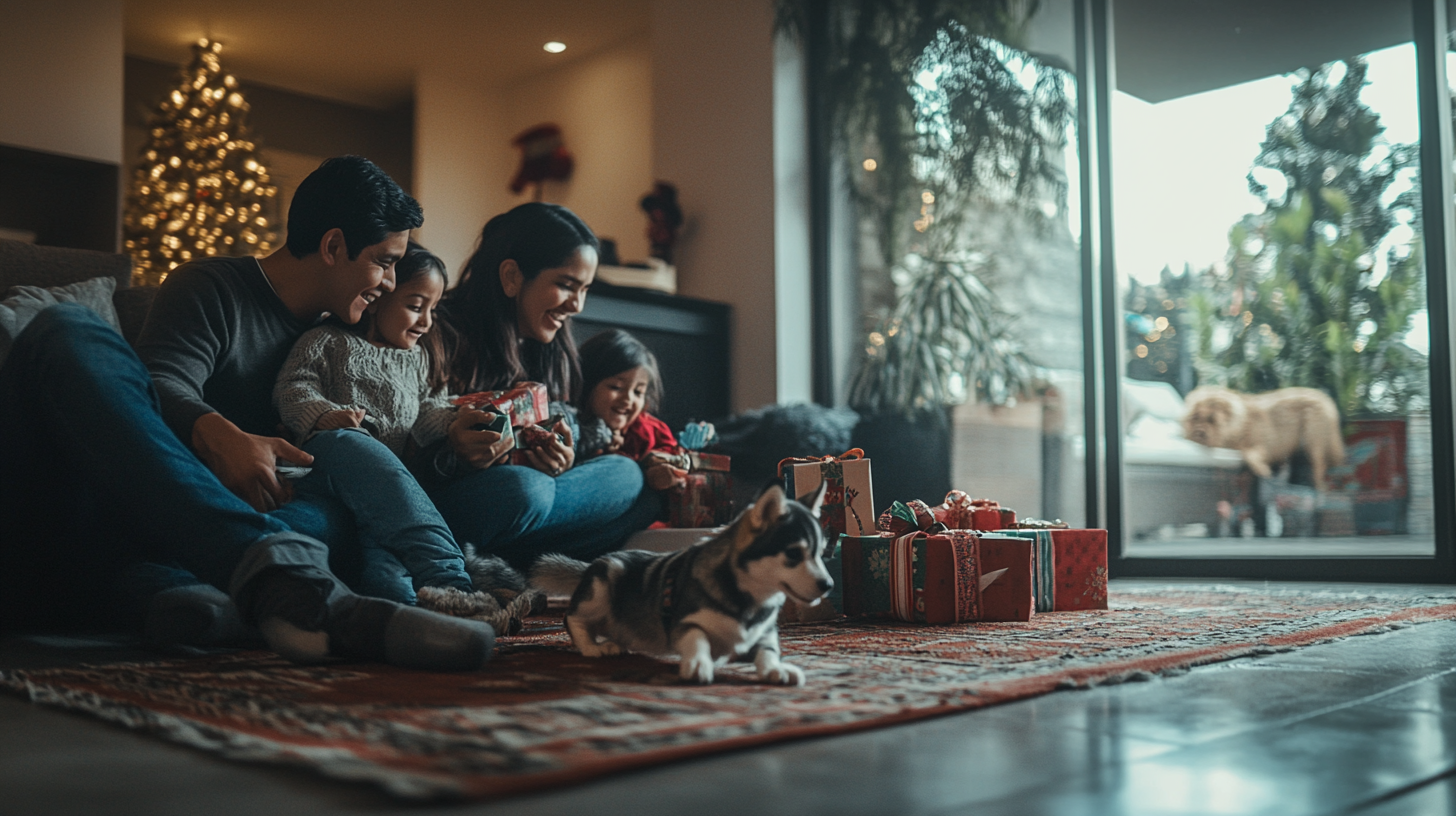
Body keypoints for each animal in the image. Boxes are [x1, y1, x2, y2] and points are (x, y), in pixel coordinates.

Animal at [532, 480, 832, 684]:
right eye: (793, 554)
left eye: (821, 551)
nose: (828, 586)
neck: (749, 599)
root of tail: (600, 558)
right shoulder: (684, 622)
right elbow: (696, 637)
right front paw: (699, 662)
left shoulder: (764, 634)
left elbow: (768, 651)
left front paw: (775, 668)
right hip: (603, 585)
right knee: (572, 619)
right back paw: (593, 647)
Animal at [1176, 384, 1345, 486]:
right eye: (1195, 418)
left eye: (1211, 419)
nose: (1199, 433)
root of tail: (1327, 400)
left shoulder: (1265, 444)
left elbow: (1250, 455)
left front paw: (1263, 470)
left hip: (1313, 441)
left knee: (1320, 467)